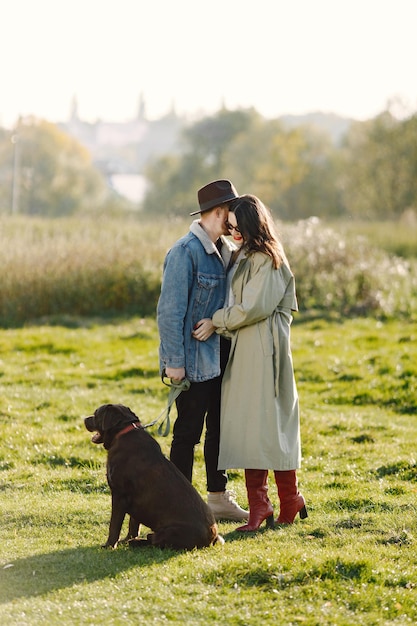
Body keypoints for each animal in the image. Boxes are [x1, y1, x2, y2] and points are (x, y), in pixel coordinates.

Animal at [83, 402, 223, 548]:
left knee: (155, 541)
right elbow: (133, 524)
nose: (85, 419)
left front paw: (109, 545)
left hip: (169, 531)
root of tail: (212, 538)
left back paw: (136, 542)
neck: (122, 432)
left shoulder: (119, 495)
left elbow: (114, 525)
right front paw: (127, 539)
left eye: (96, 413)